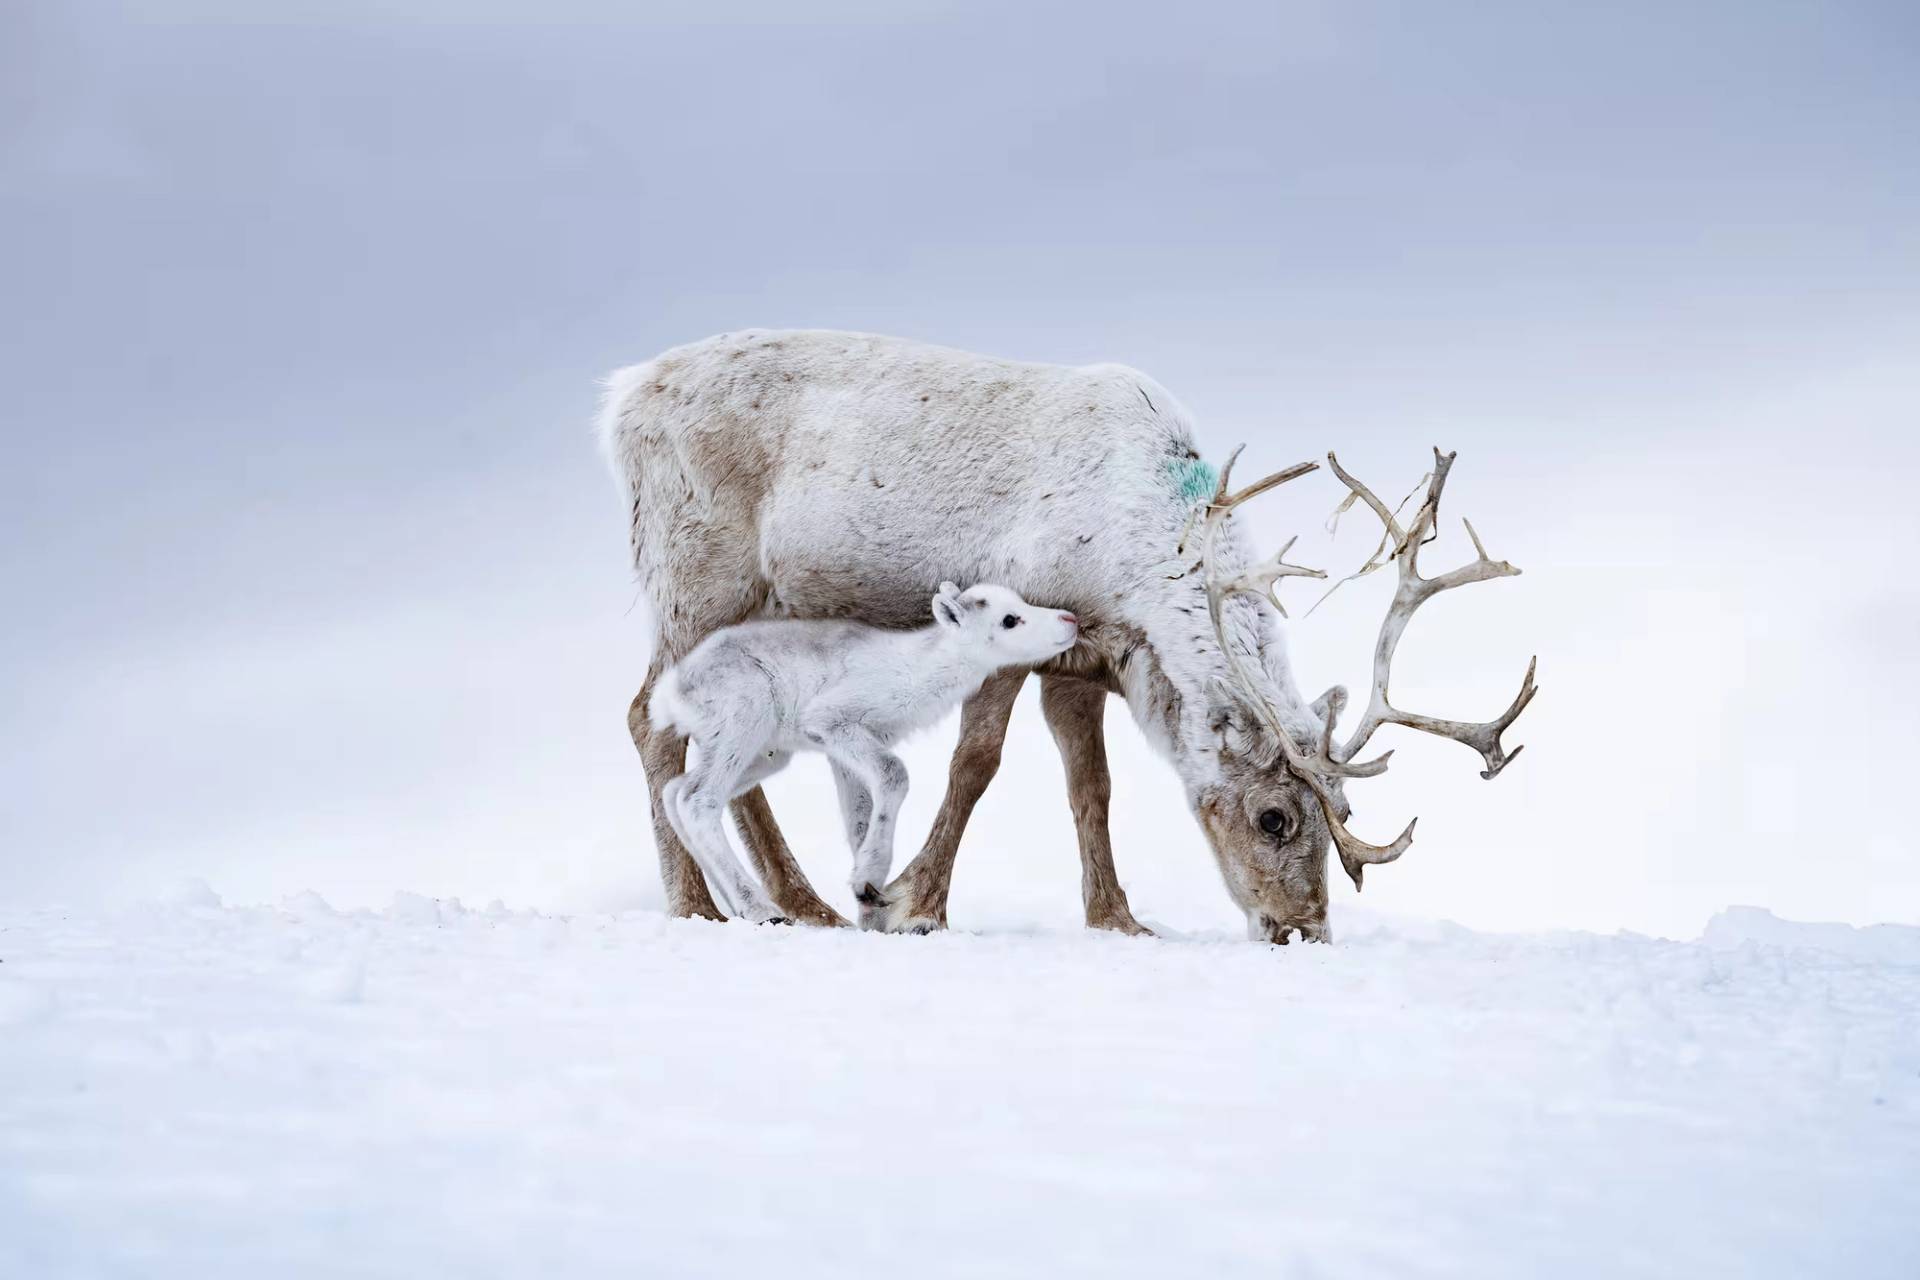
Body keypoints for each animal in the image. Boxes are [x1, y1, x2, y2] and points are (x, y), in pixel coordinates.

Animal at [649, 582, 1081, 926]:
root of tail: (671, 693)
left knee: (675, 791)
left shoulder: (846, 752)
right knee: (698, 800)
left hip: (766, 754)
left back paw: (735, 904)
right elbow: (894, 774)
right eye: (1010, 620)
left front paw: (870, 898)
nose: (1071, 620)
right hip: (743, 726)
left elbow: (860, 817)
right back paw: (760, 910)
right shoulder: (832, 722)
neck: (920, 670)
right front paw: (868, 877)